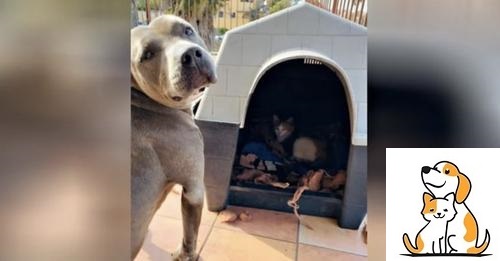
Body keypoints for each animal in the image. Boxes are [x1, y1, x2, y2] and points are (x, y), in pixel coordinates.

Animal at [130, 15, 216, 258]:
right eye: (147, 55)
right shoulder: (194, 190)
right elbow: (190, 236)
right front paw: (187, 256)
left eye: (187, 30)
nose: (191, 55)